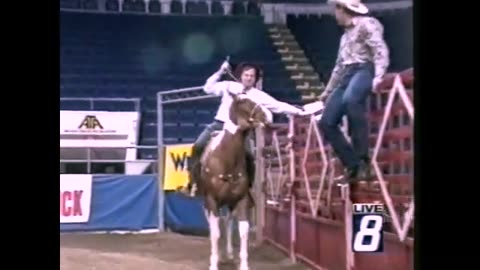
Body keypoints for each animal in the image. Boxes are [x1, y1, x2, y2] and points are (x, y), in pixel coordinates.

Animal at [195, 91, 270, 270]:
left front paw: (243, 264)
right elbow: (215, 231)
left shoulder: (241, 199)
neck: (226, 159)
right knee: (214, 225)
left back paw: (228, 253)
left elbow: (242, 230)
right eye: (244, 101)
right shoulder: (212, 200)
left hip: (230, 202)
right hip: (208, 202)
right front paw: (213, 263)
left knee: (228, 221)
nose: (267, 116)